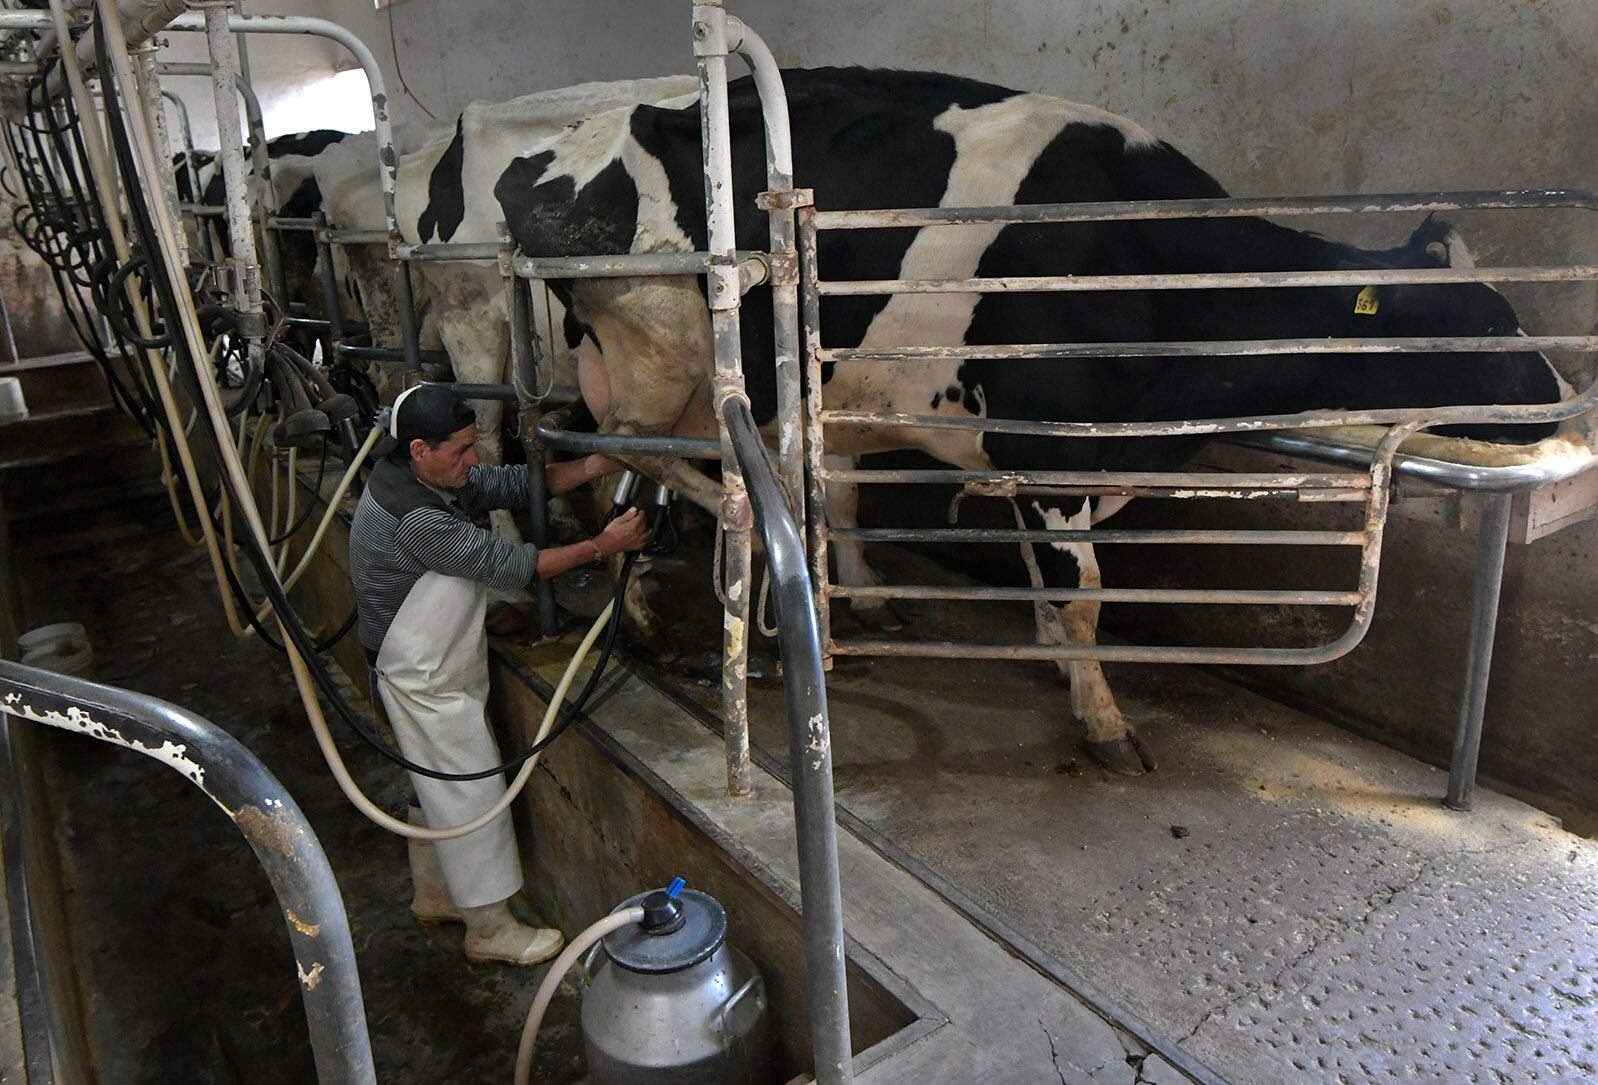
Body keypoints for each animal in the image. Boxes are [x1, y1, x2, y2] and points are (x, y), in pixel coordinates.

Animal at [479, 65, 1566, 773]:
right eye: (1478, 321)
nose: (1558, 397)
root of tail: (554, 147)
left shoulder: (1046, 452)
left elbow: (1054, 579)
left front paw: (1054, 661)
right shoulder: (1043, 443)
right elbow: (1083, 589)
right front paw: (1102, 717)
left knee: (664, 470)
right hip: (655, 355)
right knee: (618, 454)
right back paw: (731, 564)